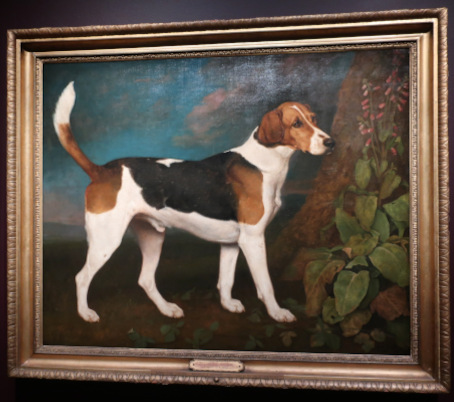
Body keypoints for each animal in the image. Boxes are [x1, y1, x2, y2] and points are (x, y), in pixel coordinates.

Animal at [53, 81, 335, 323]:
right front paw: (277, 313)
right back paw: (85, 313)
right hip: (106, 241)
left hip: (153, 237)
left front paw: (228, 304)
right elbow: (265, 283)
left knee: (145, 280)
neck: (263, 162)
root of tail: (101, 171)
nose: (331, 142)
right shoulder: (253, 239)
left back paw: (167, 309)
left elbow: (226, 280)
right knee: (81, 277)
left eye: (314, 119)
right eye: (296, 123)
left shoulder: (232, 242)